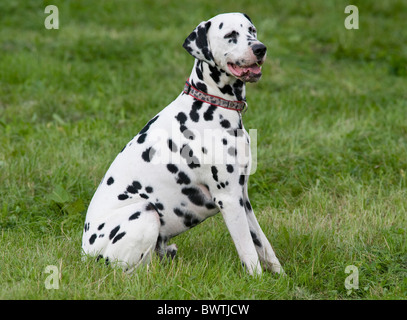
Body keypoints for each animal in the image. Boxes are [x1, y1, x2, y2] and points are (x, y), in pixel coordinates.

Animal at [81, 11, 282, 274]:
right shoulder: (228, 199)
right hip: (144, 212)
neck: (210, 104)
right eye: (231, 35)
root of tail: (84, 254)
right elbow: (250, 254)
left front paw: (282, 276)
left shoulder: (242, 198)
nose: (260, 48)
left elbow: (264, 246)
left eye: (252, 30)